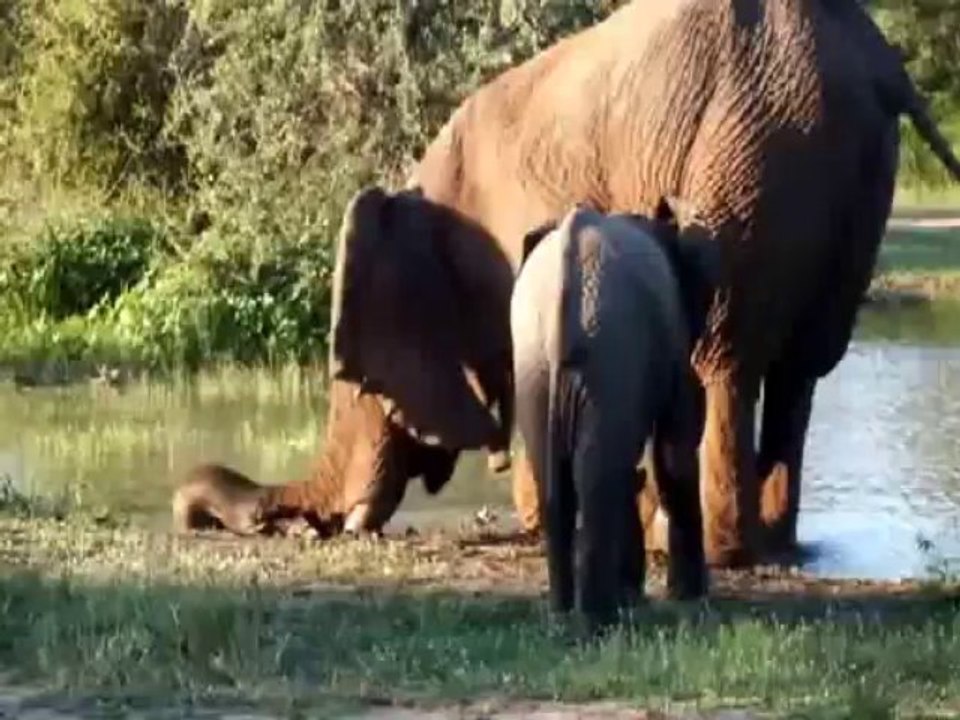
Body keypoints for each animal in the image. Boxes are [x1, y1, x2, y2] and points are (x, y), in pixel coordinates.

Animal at [198, 0, 960, 566]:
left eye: (358, 386)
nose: (285, 526)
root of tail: (873, 54)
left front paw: (554, 519)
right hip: (847, 176)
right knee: (802, 366)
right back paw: (770, 547)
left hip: (748, 163)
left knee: (725, 359)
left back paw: (699, 549)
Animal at [510, 201, 721, 629]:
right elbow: (675, 451)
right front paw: (689, 596)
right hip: (611, 350)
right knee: (598, 474)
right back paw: (600, 621)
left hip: (534, 361)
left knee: (560, 481)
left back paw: (563, 613)